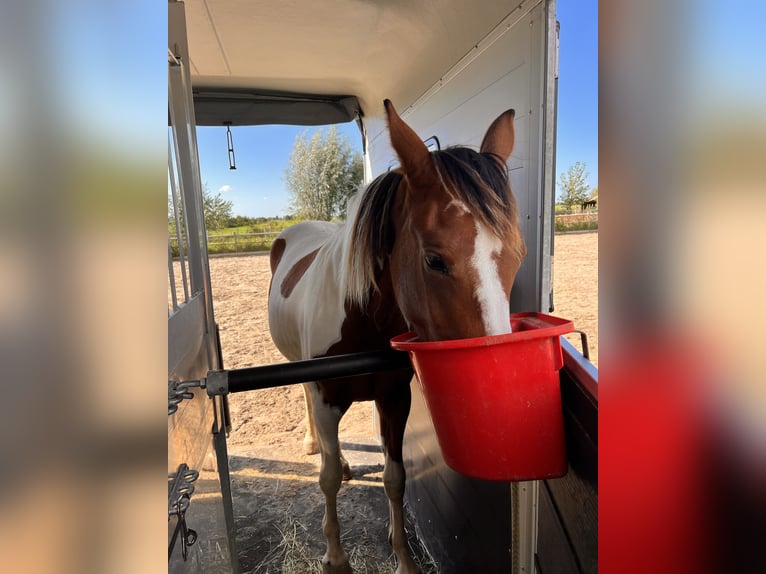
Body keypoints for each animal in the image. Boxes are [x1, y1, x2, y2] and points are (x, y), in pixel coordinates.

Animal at [270, 101, 528, 574]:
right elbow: (327, 480)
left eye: (517, 254)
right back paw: (316, 443)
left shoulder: (394, 398)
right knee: (307, 405)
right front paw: (336, 559)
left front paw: (404, 559)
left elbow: (395, 478)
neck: (362, 319)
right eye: (434, 259)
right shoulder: (327, 397)